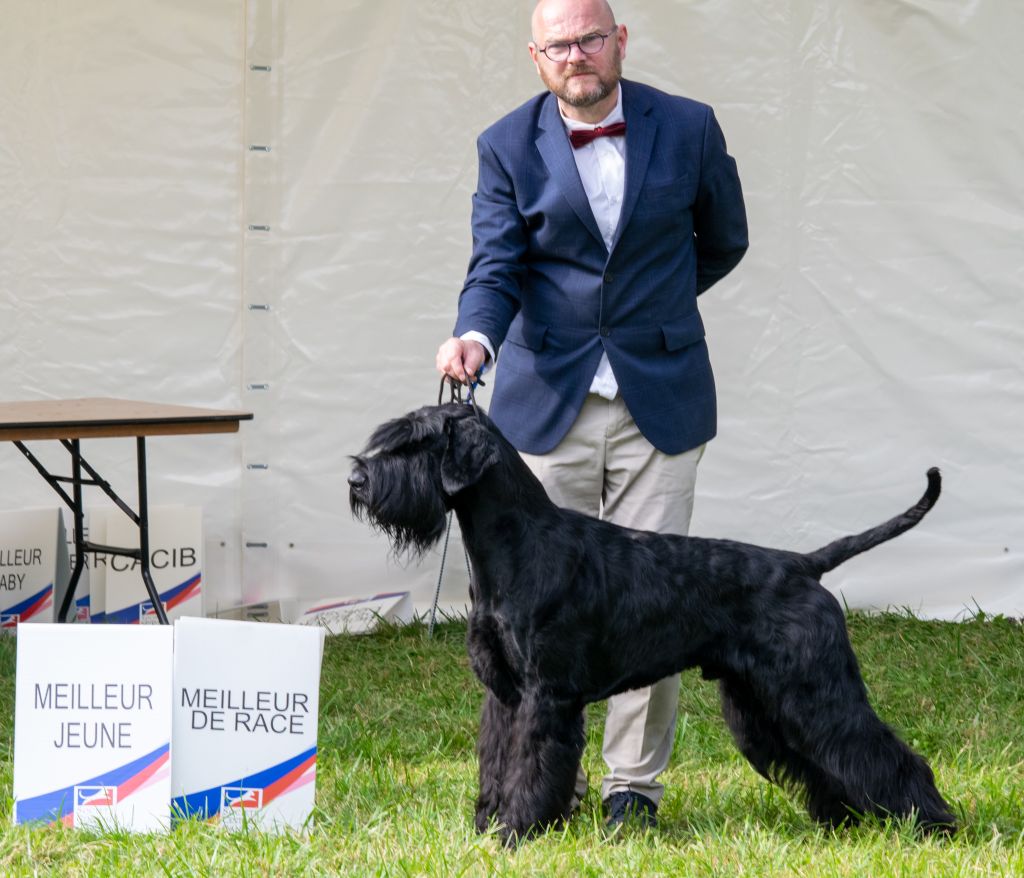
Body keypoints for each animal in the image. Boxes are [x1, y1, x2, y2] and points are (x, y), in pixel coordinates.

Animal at [348, 401, 954, 844]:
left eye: (417, 442)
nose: (357, 477)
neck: (519, 543)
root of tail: (805, 564)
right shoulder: (504, 694)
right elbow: (497, 761)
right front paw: (487, 824)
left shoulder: (546, 696)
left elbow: (531, 765)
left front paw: (516, 832)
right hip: (763, 702)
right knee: (820, 759)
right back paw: (842, 822)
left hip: (814, 689)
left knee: (879, 751)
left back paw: (932, 824)